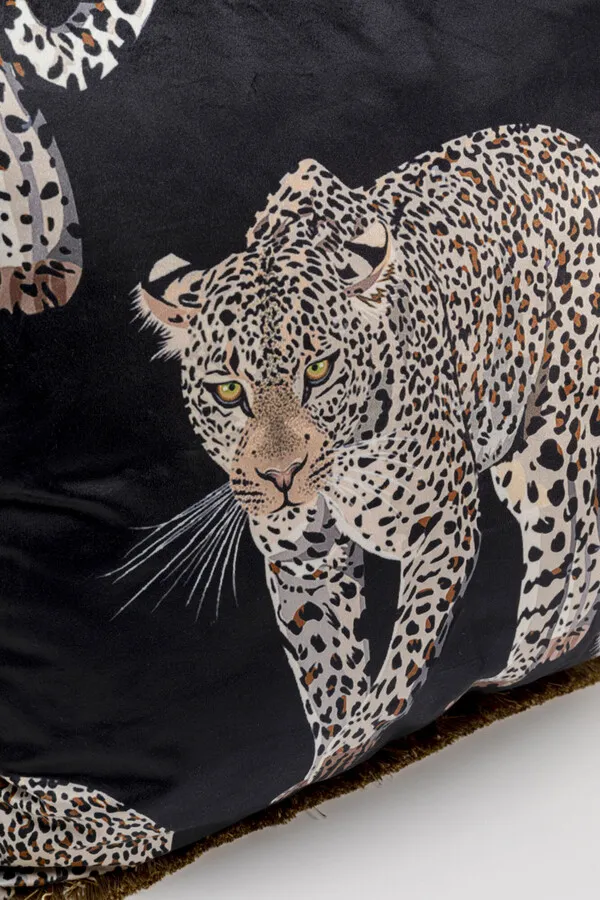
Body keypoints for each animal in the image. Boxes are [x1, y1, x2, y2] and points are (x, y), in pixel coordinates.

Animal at [132, 123, 600, 799]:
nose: (282, 477)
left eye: (319, 369)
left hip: (553, 441)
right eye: (228, 390)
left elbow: (399, 669)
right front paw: (330, 762)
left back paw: (541, 652)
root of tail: (574, 142)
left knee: (567, 542)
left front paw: (348, 748)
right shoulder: (306, 564)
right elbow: (329, 679)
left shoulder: (441, 528)